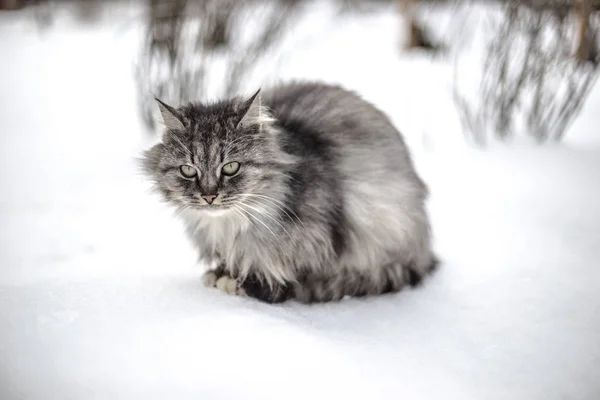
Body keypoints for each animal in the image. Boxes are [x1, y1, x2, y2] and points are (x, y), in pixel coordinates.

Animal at [143, 80, 438, 304]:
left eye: (230, 167)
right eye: (188, 170)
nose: (208, 196)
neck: (231, 225)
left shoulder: (318, 241)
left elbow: (288, 273)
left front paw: (247, 285)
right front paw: (223, 273)